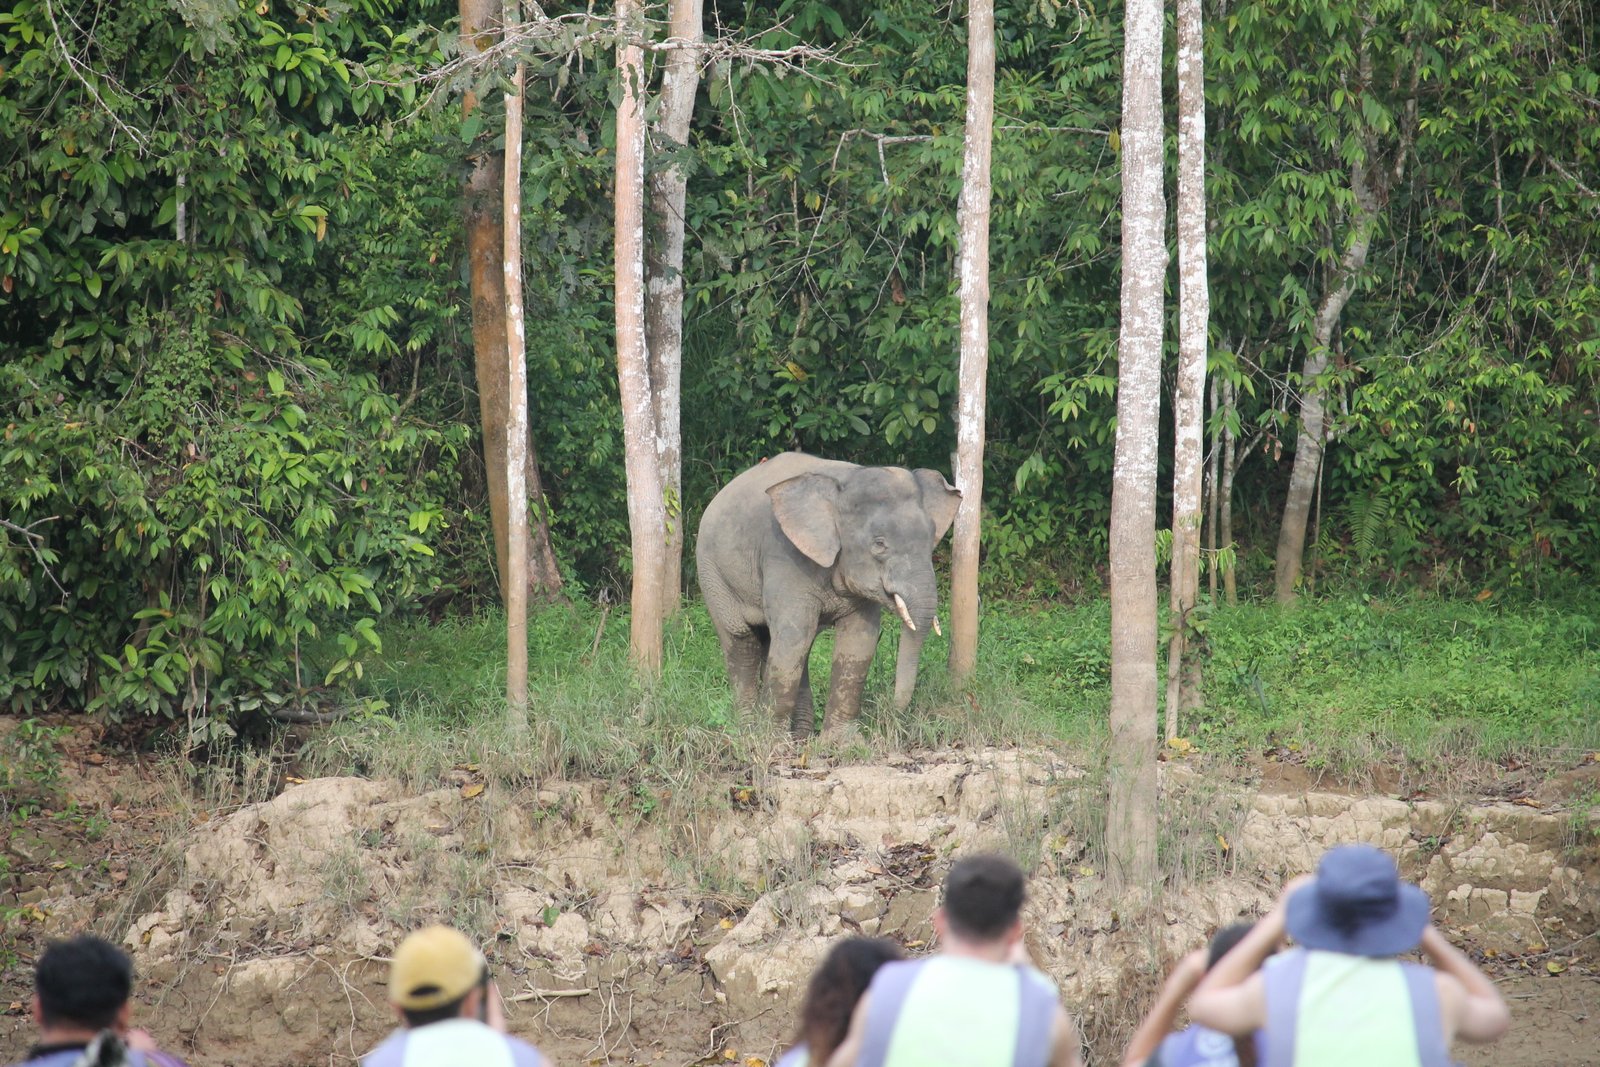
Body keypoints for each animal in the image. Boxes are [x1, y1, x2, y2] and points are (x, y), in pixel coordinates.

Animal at [696, 452, 961, 736]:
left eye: (931, 535)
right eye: (879, 544)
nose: (890, 712)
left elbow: (859, 641)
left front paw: (842, 742)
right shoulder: (784, 555)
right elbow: (792, 637)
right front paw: (771, 742)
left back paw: (800, 736)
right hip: (713, 575)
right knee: (743, 641)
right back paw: (748, 732)